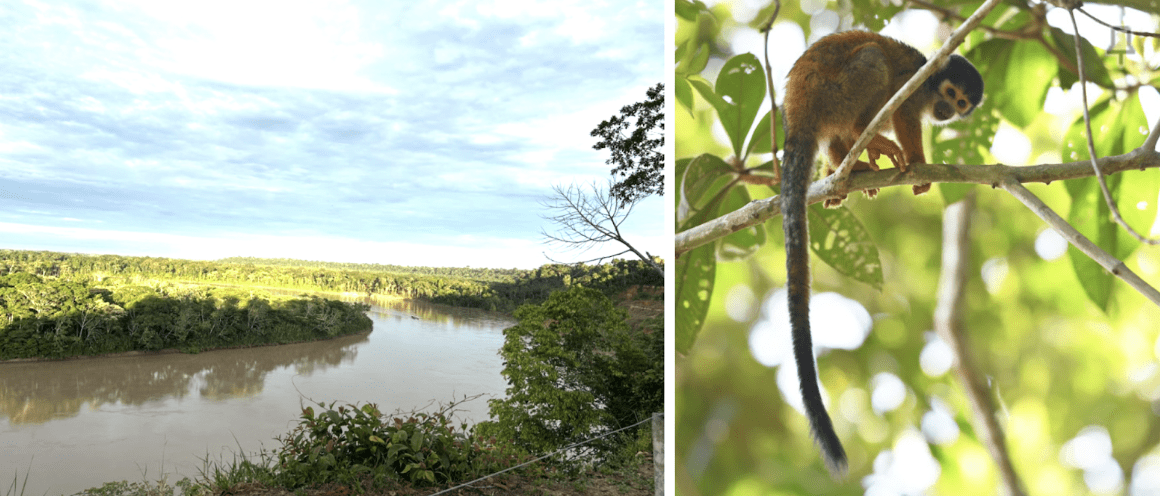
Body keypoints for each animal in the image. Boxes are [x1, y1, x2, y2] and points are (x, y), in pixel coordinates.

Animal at [774, 29, 983, 472]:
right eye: (950, 93)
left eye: (961, 103)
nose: (945, 111)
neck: (930, 84)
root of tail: (795, 111)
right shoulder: (915, 85)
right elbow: (902, 111)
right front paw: (917, 160)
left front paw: (862, 160)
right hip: (831, 93)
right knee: (873, 63)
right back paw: (860, 140)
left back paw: (847, 165)